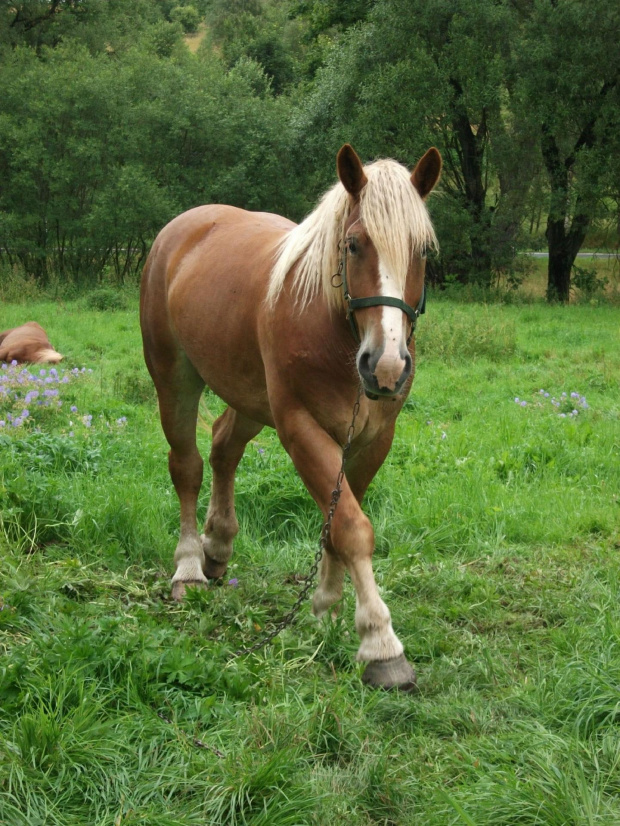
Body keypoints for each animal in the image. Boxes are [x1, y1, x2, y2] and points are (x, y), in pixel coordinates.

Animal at [140, 143, 440, 688]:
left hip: (250, 397)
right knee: (187, 466)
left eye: (422, 251)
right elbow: (351, 527)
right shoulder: (300, 428)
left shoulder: (372, 440)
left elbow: (335, 521)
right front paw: (380, 642)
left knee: (224, 447)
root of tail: (181, 229)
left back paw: (217, 548)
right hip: (175, 380)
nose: (386, 366)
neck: (334, 331)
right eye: (354, 245)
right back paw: (190, 567)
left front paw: (325, 606)